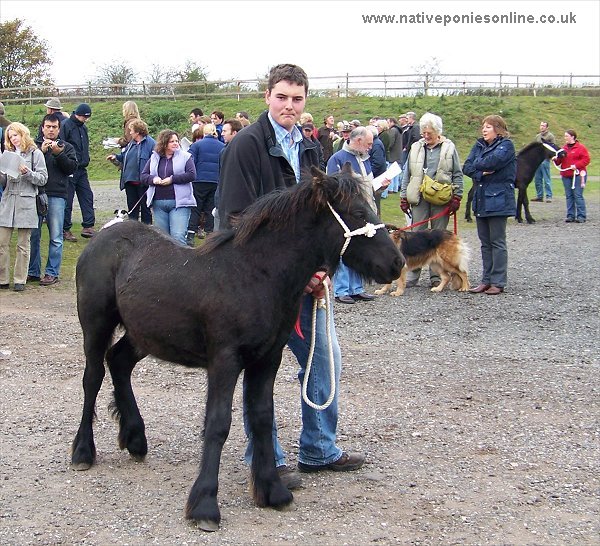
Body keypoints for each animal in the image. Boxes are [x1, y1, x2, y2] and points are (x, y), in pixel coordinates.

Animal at [72, 164, 406, 528]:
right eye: (358, 213)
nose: (397, 263)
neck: (254, 274)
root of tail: (103, 237)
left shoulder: (267, 359)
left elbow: (261, 418)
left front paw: (273, 491)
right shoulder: (225, 360)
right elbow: (218, 424)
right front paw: (205, 505)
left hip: (143, 334)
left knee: (119, 362)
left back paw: (135, 438)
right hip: (96, 326)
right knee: (92, 378)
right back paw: (83, 451)